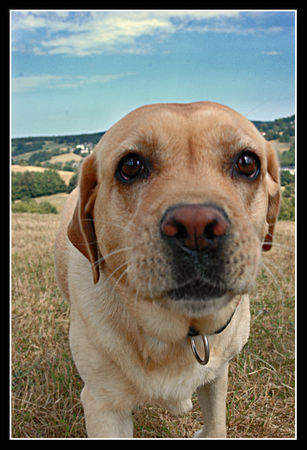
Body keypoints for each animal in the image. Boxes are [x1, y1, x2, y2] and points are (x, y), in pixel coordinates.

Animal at [54, 101, 280, 436]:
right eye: (131, 165)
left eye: (247, 162)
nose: (196, 228)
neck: (180, 332)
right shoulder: (103, 406)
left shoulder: (218, 374)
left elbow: (216, 425)